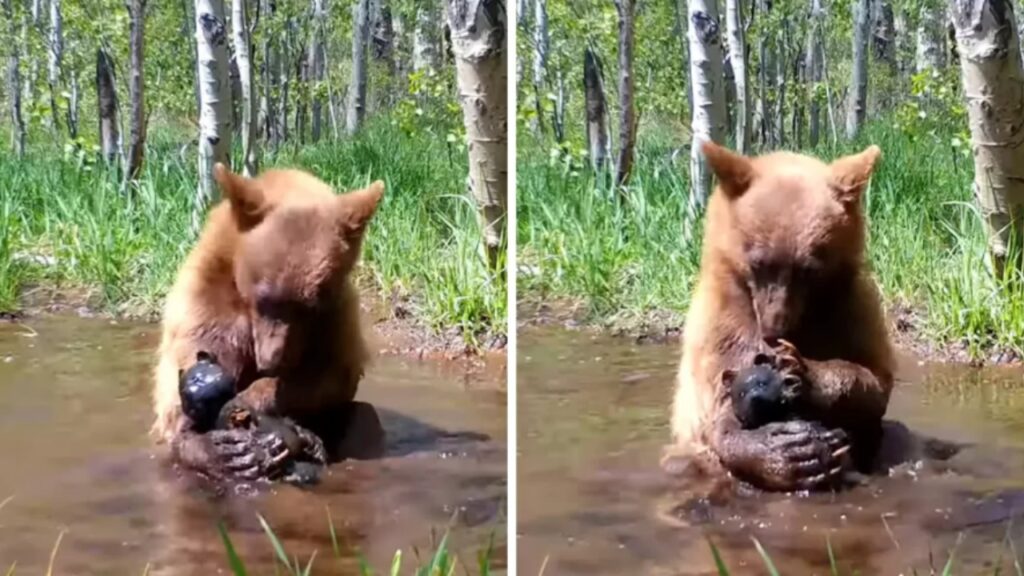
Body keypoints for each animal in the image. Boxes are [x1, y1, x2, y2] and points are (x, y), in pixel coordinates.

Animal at [153, 162, 385, 479]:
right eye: (264, 298)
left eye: (309, 308)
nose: (272, 360)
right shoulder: (205, 302)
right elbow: (179, 389)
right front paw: (218, 447)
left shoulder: (337, 317)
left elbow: (332, 374)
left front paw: (251, 401)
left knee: (365, 419)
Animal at [667, 141, 892, 491]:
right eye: (758, 263)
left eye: (809, 270)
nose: (775, 330)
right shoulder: (722, 324)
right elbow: (721, 403)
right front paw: (788, 452)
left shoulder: (850, 311)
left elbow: (873, 380)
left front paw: (803, 370)